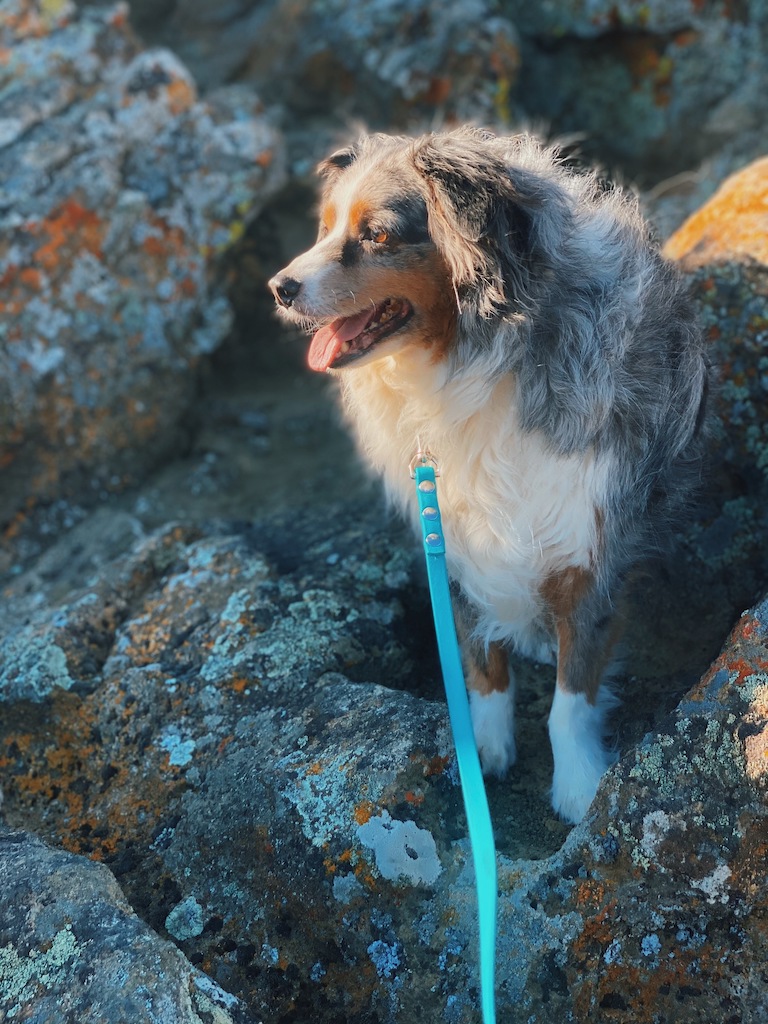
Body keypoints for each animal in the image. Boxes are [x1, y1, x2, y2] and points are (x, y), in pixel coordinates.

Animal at [268, 130, 712, 823]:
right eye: (325, 227)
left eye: (376, 235)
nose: (278, 287)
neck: (475, 364)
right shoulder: (454, 538)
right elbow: (480, 667)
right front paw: (482, 752)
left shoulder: (589, 549)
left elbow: (570, 698)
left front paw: (579, 788)